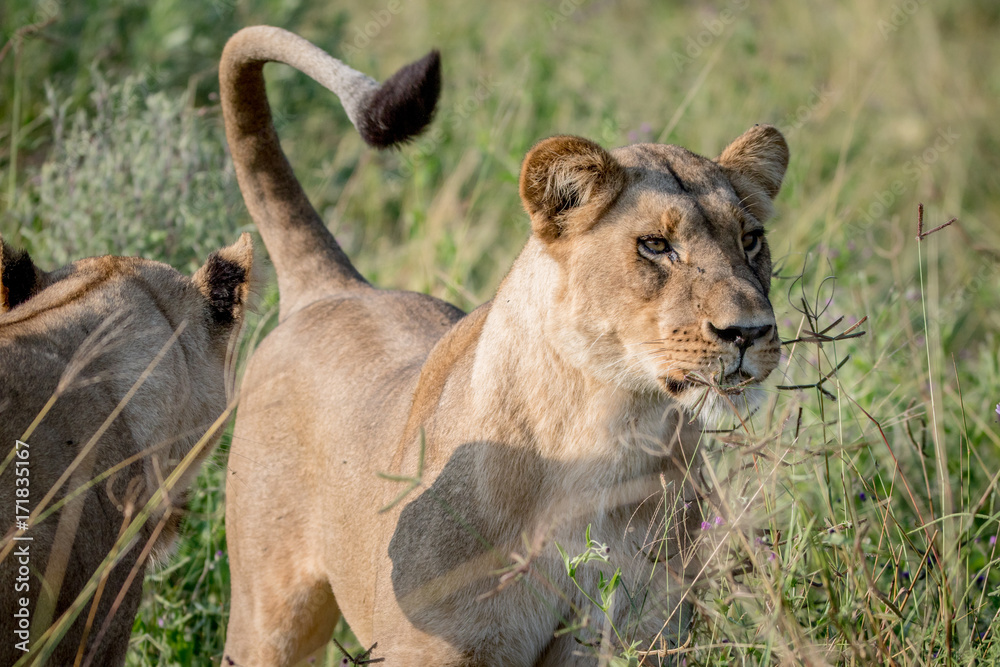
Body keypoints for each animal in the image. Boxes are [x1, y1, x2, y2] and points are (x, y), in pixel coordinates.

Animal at [219, 26, 787, 666]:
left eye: (750, 239)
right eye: (656, 245)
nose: (750, 332)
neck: (607, 431)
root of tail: (335, 286)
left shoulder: (638, 638)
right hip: (268, 617)